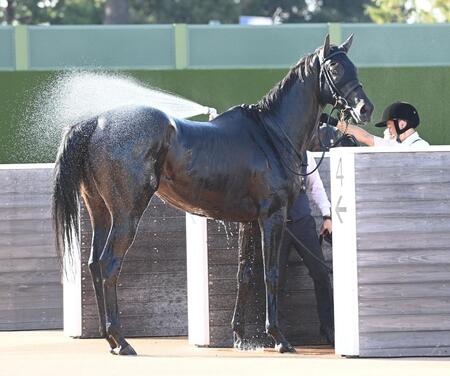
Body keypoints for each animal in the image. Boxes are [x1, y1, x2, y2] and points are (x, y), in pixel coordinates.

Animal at [51, 33, 372, 354]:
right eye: (334, 69)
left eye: (353, 66)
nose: (364, 109)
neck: (271, 134)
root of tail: (96, 122)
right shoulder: (272, 216)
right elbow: (270, 274)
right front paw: (278, 337)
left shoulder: (248, 222)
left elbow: (245, 275)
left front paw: (240, 337)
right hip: (126, 216)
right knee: (109, 266)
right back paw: (121, 339)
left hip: (100, 213)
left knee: (94, 265)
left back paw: (110, 340)